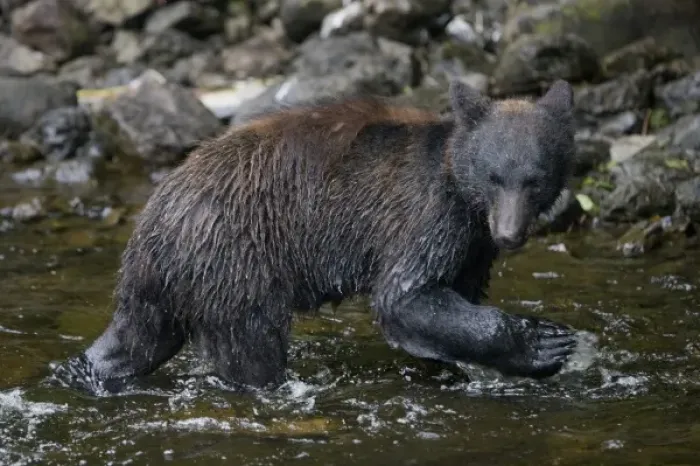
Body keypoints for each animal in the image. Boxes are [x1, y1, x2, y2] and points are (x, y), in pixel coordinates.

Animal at [55, 78, 579, 394]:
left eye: (535, 179)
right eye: (495, 176)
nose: (509, 234)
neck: (462, 192)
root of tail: (154, 220)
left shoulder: (472, 245)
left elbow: (456, 296)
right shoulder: (424, 215)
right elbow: (406, 296)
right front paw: (545, 343)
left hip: (168, 282)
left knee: (138, 338)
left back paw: (88, 369)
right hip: (236, 258)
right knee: (253, 345)